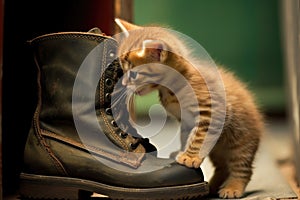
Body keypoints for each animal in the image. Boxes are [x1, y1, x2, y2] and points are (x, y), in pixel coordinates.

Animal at [113, 18, 264, 198]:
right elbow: (186, 136)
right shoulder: (185, 120)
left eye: (134, 74)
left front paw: (190, 157)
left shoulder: (212, 110)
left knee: (242, 167)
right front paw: (182, 152)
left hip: (241, 140)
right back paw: (212, 187)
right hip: (218, 150)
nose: (123, 84)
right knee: (223, 167)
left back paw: (233, 187)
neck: (171, 89)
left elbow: (199, 136)